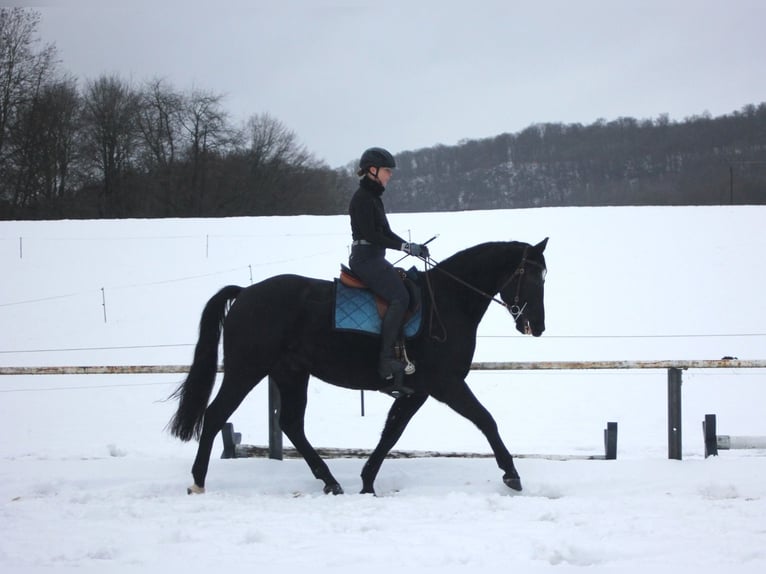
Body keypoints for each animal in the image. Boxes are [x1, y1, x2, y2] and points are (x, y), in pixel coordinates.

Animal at [168, 238, 548, 495]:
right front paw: (511, 474)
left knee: (291, 424)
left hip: (291, 373)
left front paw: (367, 482)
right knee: (216, 415)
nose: (538, 326)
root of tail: (245, 294)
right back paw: (198, 482)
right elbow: (486, 420)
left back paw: (331, 481)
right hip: (246, 370)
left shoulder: (416, 390)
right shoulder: (445, 384)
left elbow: (392, 431)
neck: (448, 301)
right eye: (534, 278)